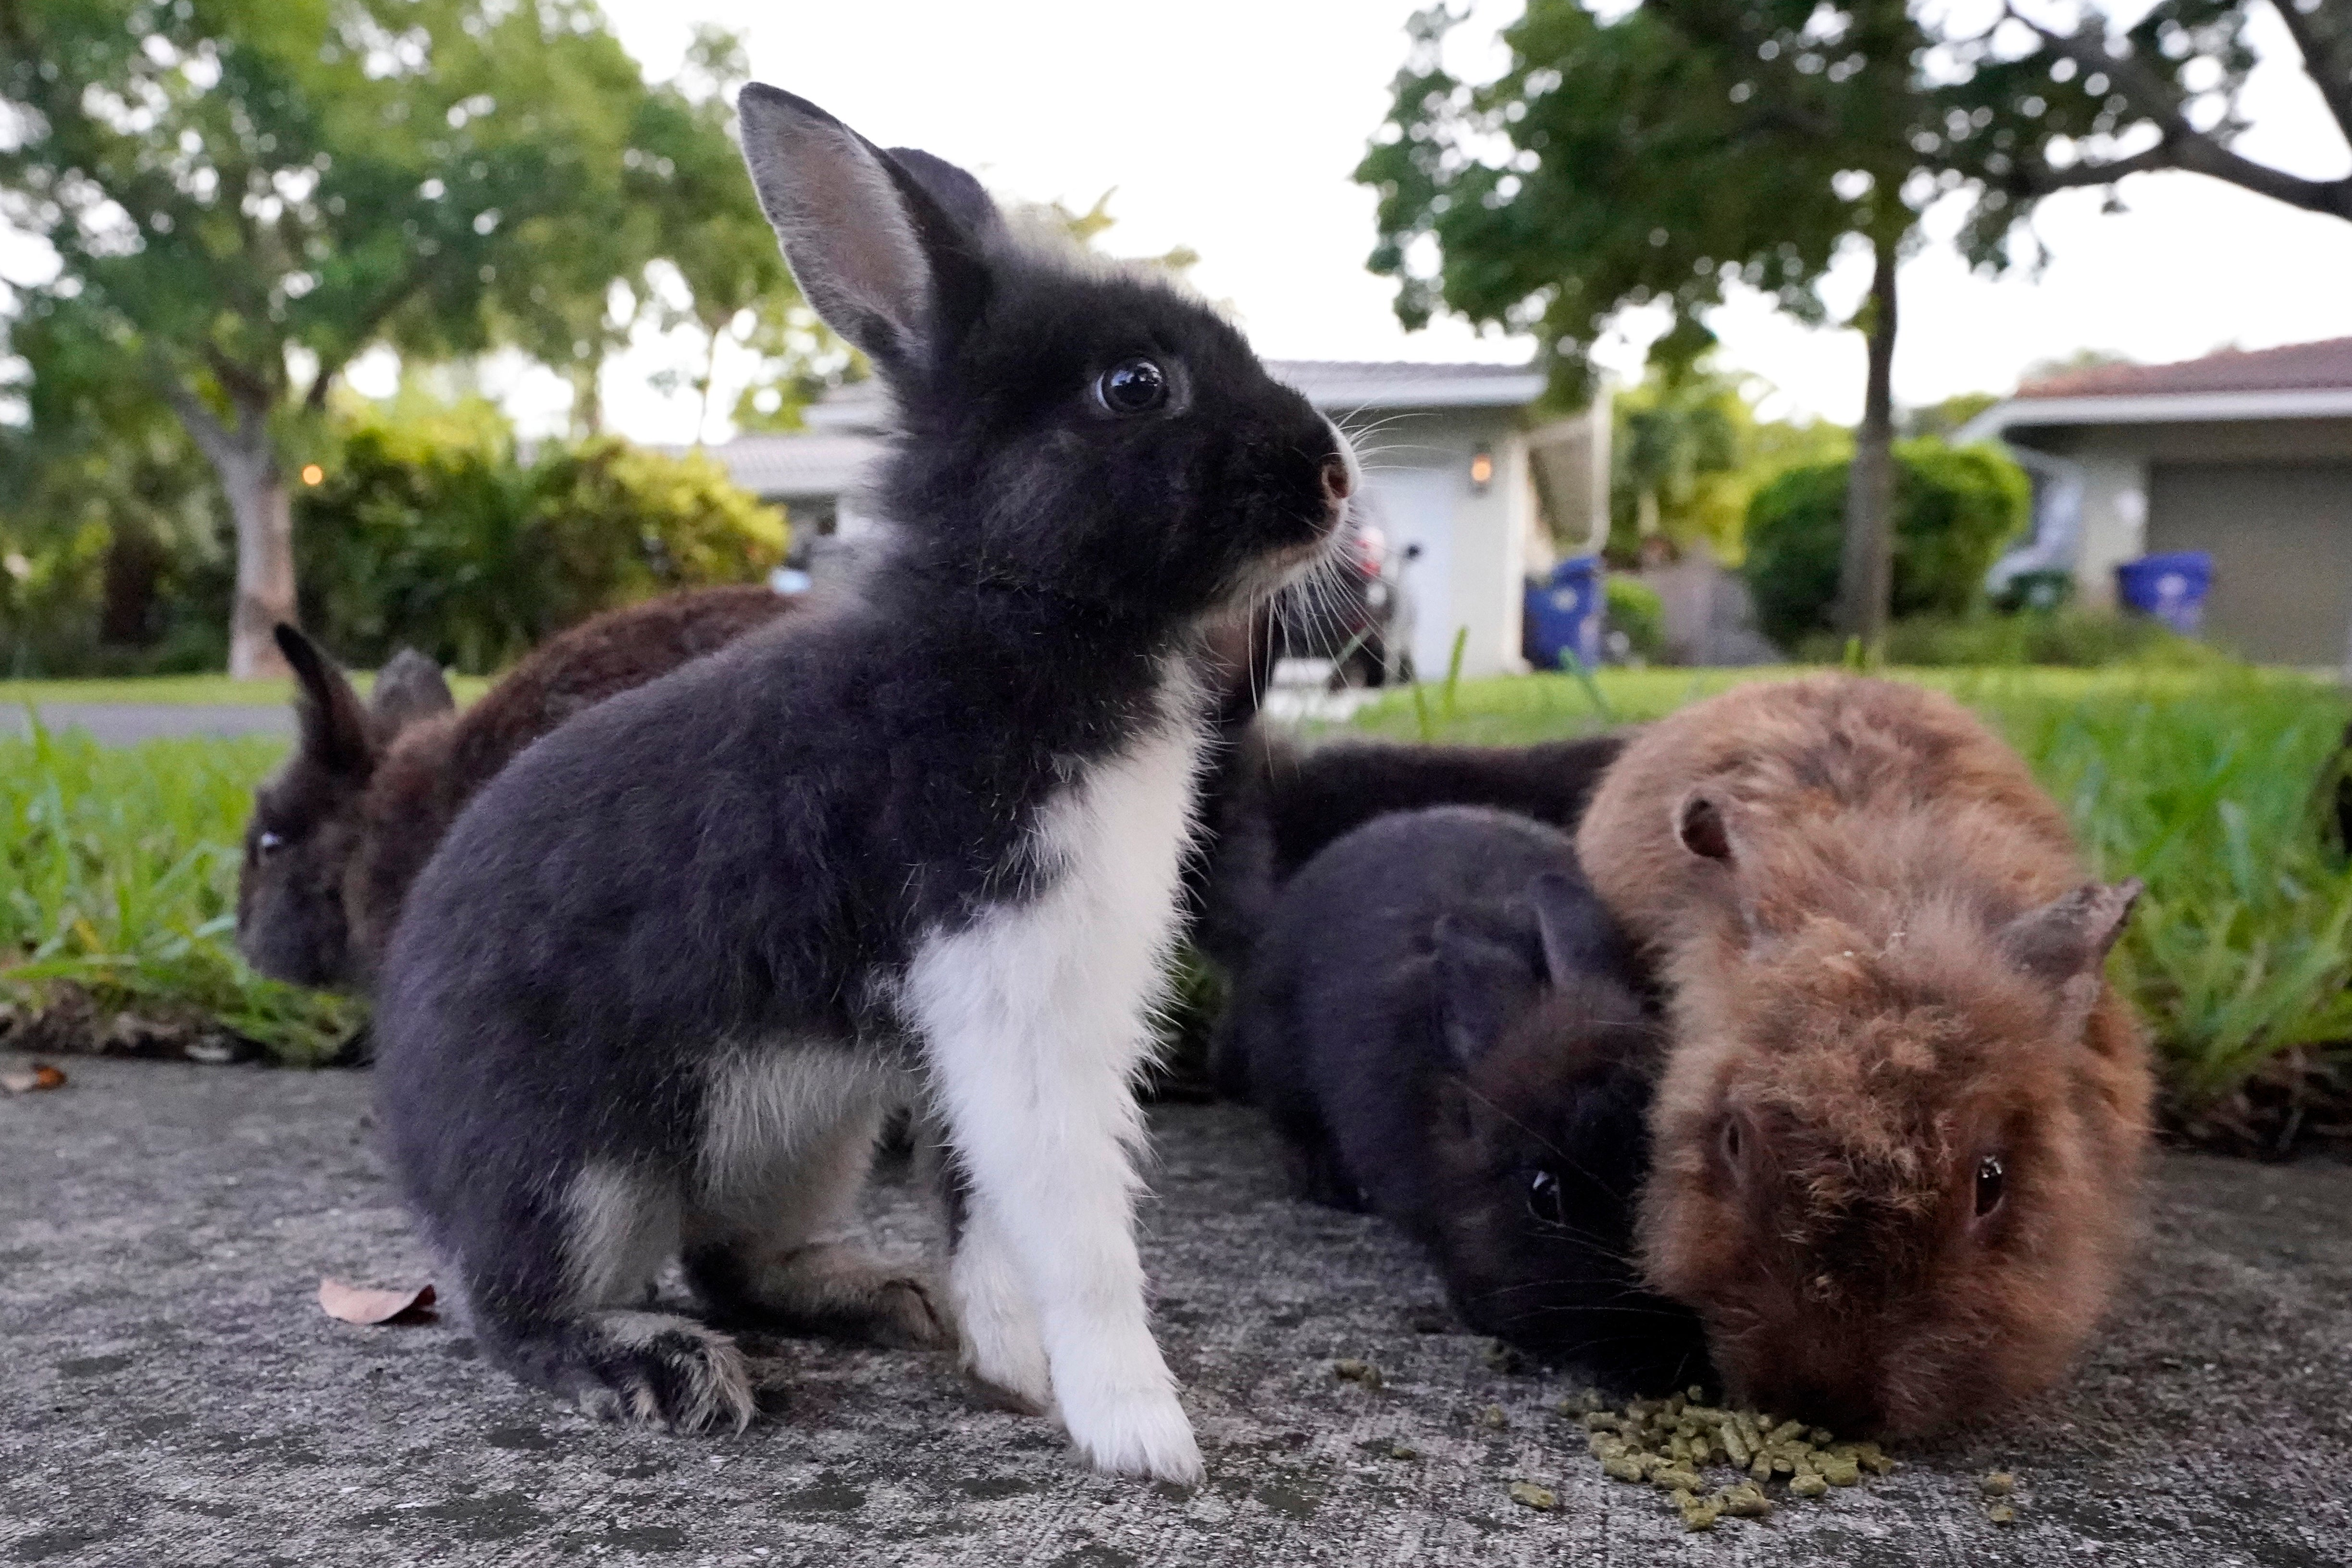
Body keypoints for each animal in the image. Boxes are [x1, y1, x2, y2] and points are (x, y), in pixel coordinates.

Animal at [369, 86, 1354, 1484]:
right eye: (1133, 384)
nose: (1333, 476)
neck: (1021, 618)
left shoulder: (981, 1025)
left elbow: (987, 1206)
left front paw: (1008, 1361)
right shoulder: (1011, 986)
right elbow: (1074, 1224)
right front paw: (1141, 1431)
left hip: (805, 1131)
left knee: (729, 1261)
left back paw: (885, 1298)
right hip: (577, 1171)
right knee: (517, 1306)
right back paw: (658, 1367)